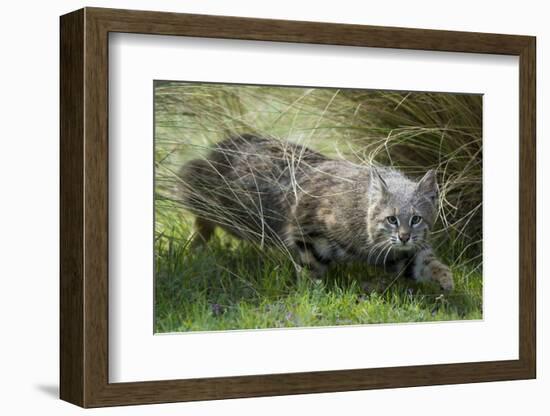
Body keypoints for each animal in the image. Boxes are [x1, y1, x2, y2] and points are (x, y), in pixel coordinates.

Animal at [179, 135, 454, 290]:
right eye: (392, 219)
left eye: (416, 219)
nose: (405, 237)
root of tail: (225, 143)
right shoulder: (304, 229)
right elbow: (311, 268)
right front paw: (311, 295)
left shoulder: (397, 253)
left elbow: (426, 263)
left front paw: (446, 280)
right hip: (223, 204)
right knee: (194, 195)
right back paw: (196, 244)